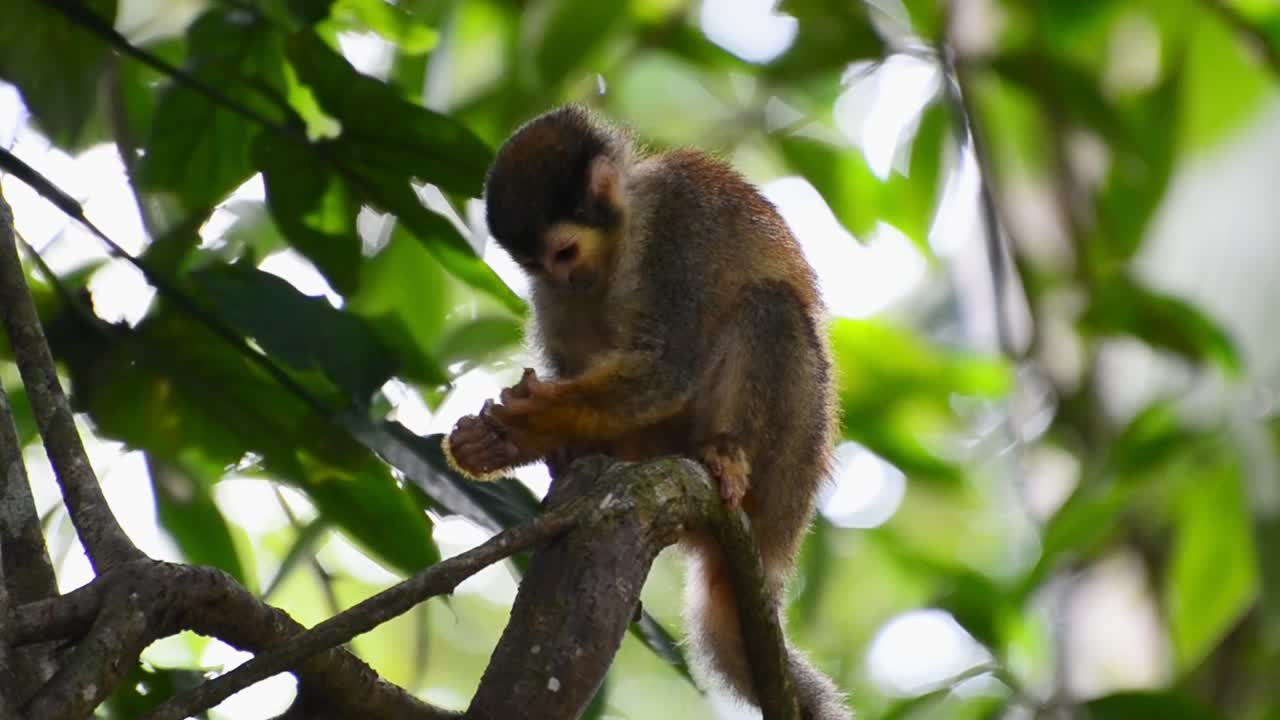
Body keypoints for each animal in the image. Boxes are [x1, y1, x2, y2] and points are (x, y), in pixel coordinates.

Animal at [445, 105, 848, 720]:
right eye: (535, 264)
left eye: (565, 253)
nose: (563, 278)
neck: (625, 231)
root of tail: (781, 540)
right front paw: (502, 444)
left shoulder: (675, 231)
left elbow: (667, 364)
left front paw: (527, 425)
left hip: (793, 459)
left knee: (772, 310)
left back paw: (727, 455)